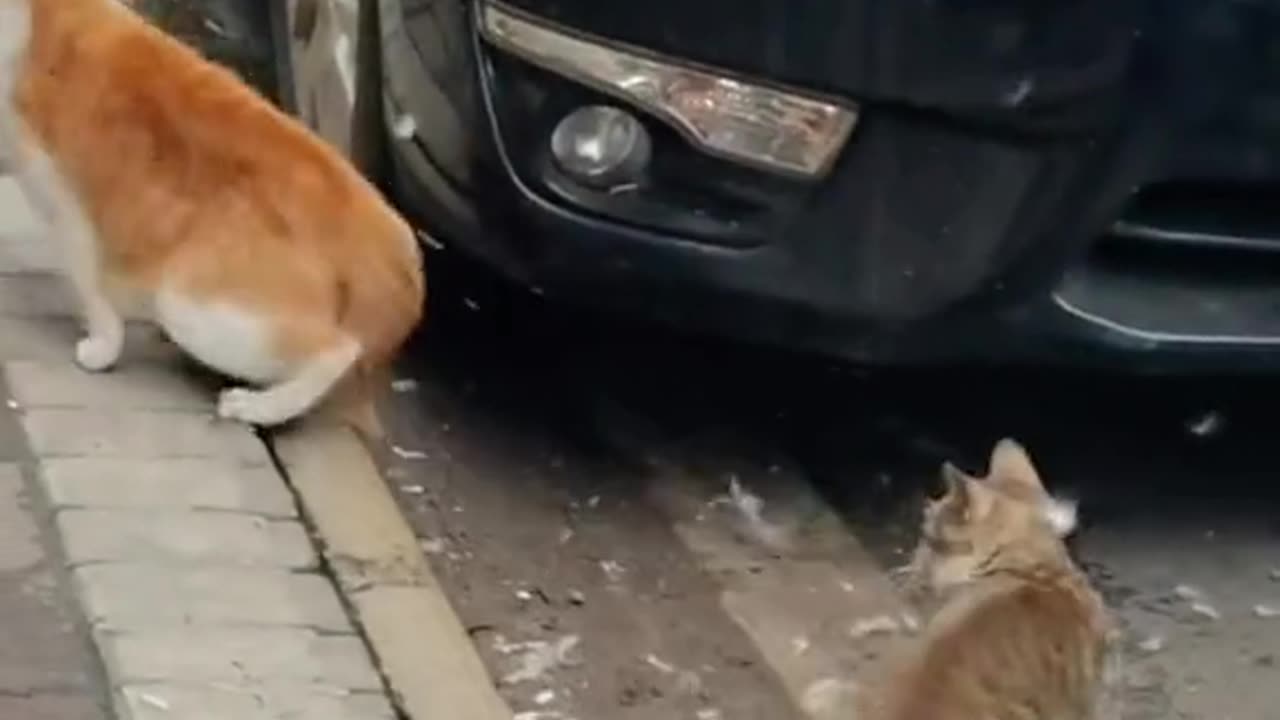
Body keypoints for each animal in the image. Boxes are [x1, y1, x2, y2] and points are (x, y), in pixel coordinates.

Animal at [0, 0, 430, 425]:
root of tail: (376, 225)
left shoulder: (68, 204)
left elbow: (91, 287)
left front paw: (102, 347)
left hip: (189, 299)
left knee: (337, 349)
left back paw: (258, 406)